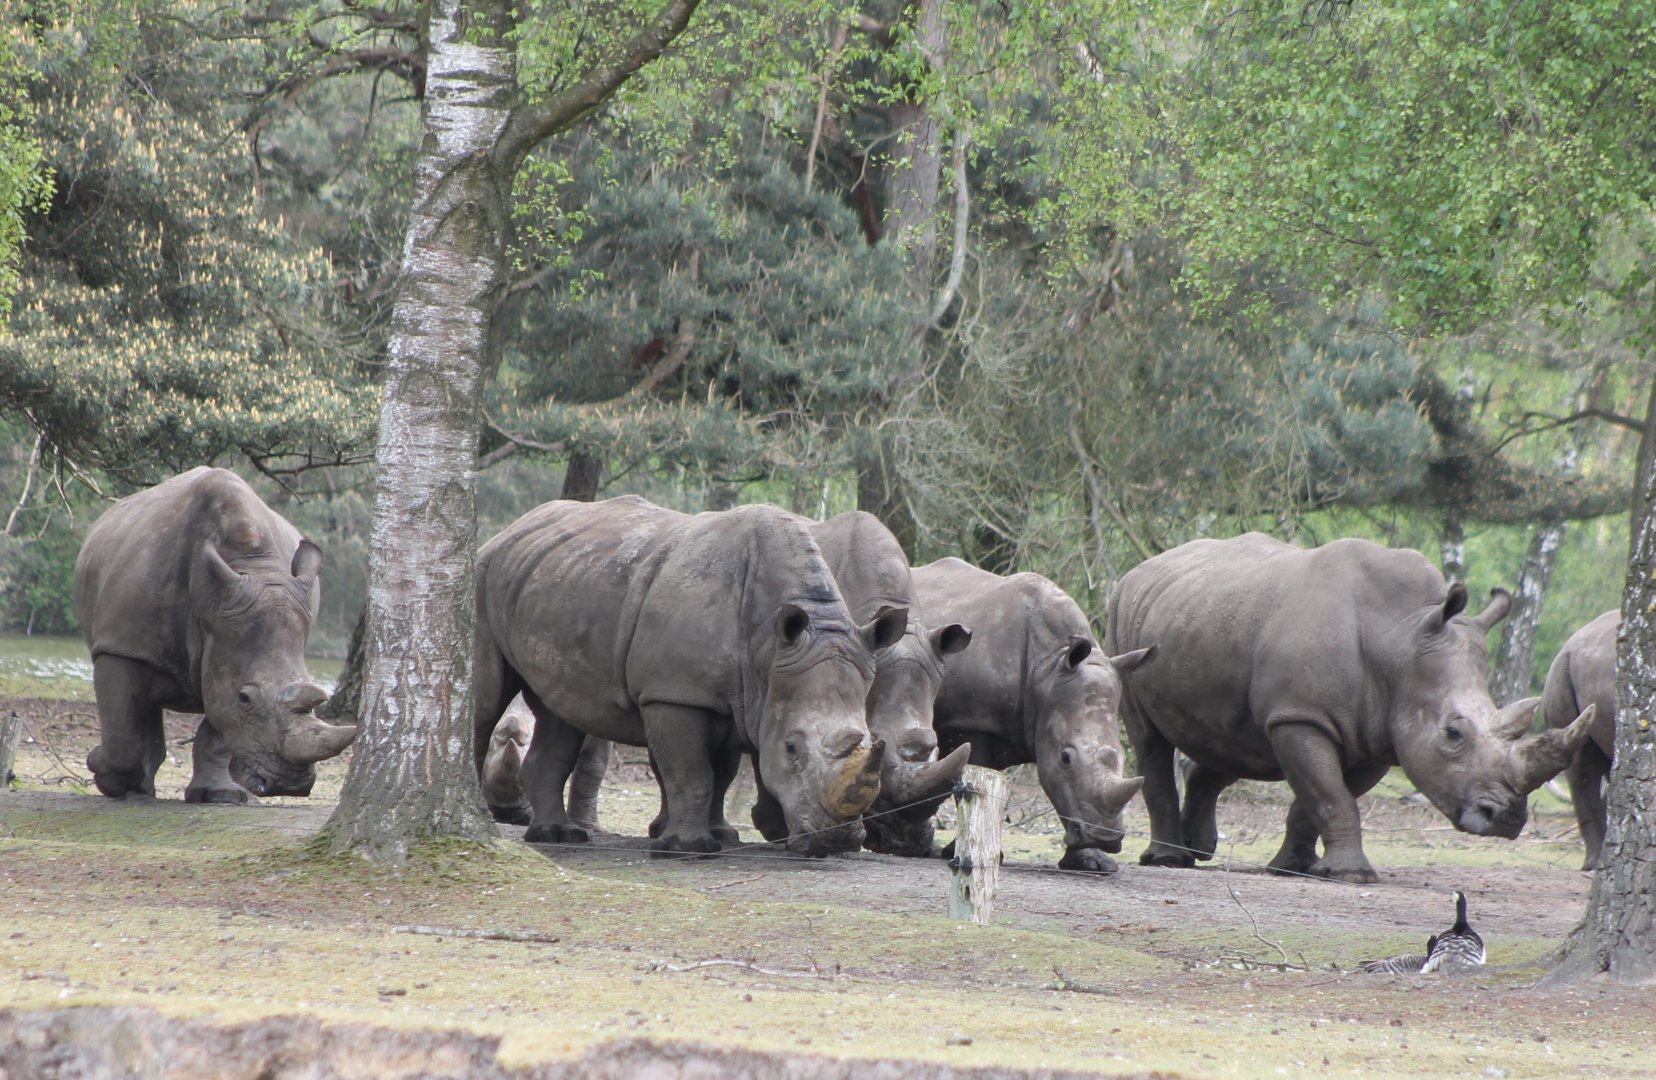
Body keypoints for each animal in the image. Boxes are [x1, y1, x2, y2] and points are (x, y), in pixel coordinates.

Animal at [74, 467, 356, 801]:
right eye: (245, 698)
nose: (289, 785)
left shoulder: (226, 644)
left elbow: (218, 727)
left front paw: (221, 795)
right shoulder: (122, 644)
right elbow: (123, 727)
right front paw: (106, 776)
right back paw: (140, 790)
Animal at [473, 495, 901, 857]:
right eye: (791, 748)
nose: (838, 840)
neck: (768, 651)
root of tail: (513, 528)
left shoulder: (735, 698)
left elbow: (721, 774)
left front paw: (722, 837)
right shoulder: (676, 693)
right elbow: (691, 772)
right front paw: (688, 848)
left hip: (556, 578)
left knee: (560, 713)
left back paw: (557, 836)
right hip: (484, 571)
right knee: (486, 704)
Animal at [911, 558, 1153, 873]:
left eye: (1123, 759)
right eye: (1066, 757)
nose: (1105, 838)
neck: (1049, 668)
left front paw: (1093, 862)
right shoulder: (971, 720)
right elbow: (973, 780)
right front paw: (967, 852)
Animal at [1106, 533, 1596, 884]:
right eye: (1453, 733)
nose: (1506, 819)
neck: (1400, 638)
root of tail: (1141, 568)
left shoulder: (1377, 732)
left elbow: (1320, 798)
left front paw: (1293, 868)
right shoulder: (1301, 716)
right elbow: (1330, 794)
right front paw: (1351, 875)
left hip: (1208, 617)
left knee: (1230, 739)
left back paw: (1198, 850)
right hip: (1123, 624)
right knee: (1148, 738)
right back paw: (1168, 860)